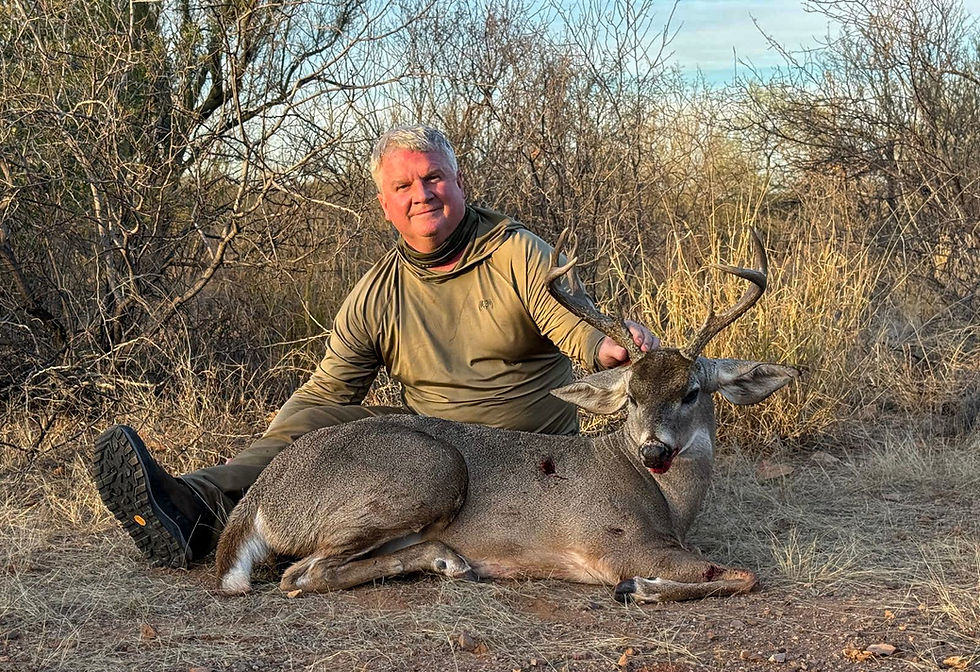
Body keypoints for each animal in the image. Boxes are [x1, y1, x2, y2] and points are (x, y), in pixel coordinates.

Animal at [215, 229, 800, 603]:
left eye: (691, 391)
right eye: (632, 395)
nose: (654, 448)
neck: (668, 502)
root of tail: (262, 496)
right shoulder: (623, 544)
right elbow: (747, 576)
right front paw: (642, 589)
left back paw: (446, 559)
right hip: (428, 470)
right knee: (301, 574)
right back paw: (447, 559)